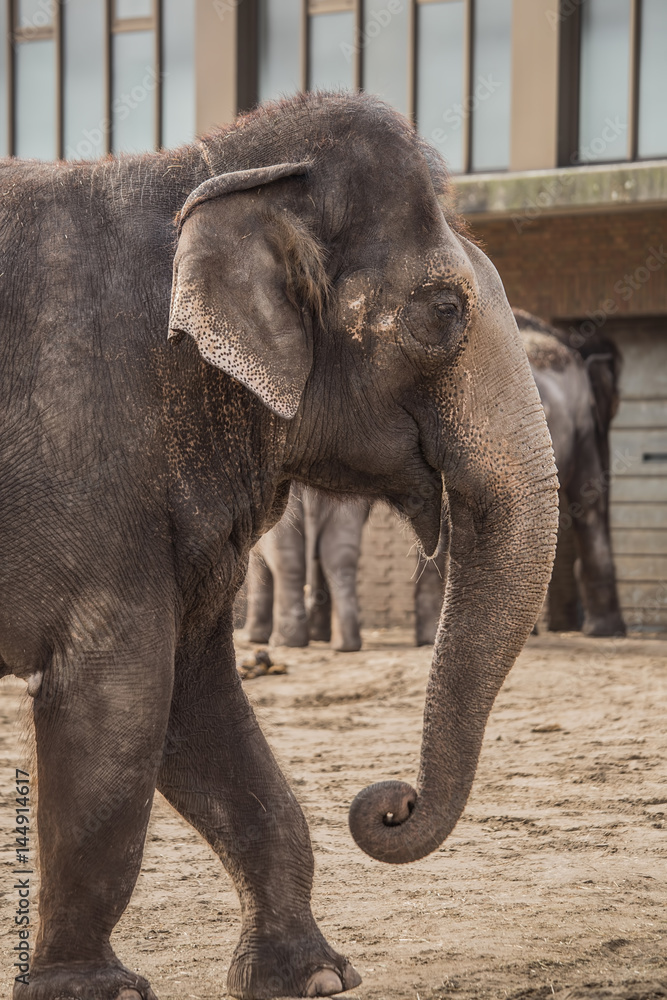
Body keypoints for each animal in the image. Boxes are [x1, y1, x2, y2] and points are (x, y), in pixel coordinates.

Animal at [246, 484, 371, 651]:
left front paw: (254, 639)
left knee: (288, 566)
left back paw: (285, 643)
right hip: (345, 513)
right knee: (341, 563)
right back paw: (344, 646)